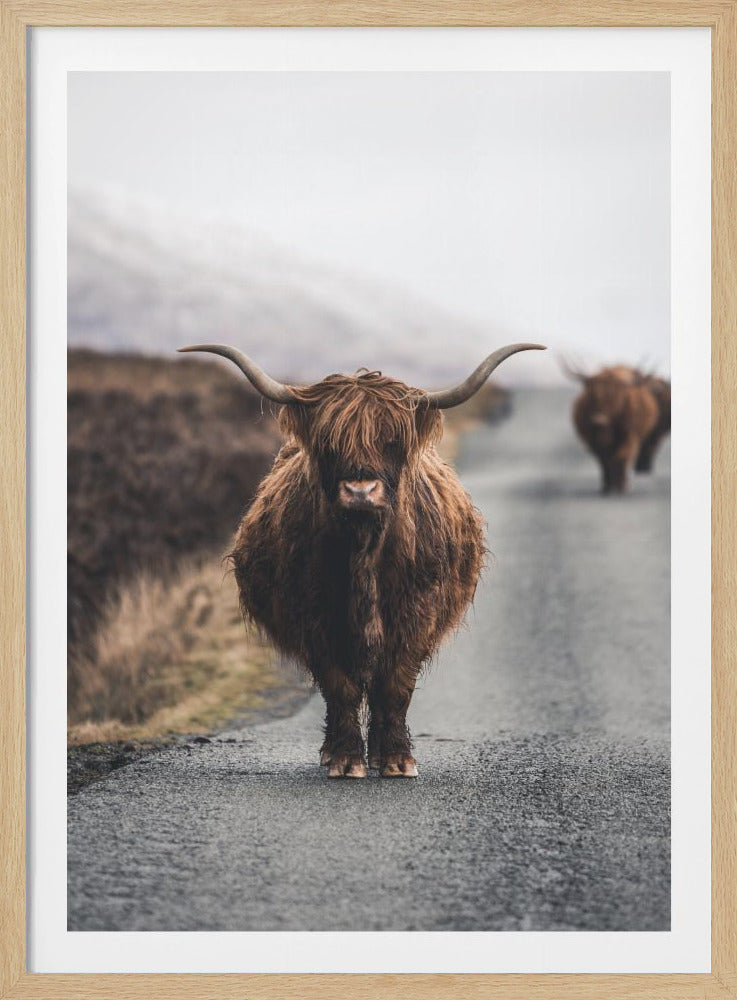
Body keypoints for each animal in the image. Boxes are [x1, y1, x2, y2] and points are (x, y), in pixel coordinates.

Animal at [178, 342, 544, 777]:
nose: (360, 491)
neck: (363, 549)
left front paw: (397, 759)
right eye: (330, 443)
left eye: (392, 441)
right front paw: (346, 758)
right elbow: (340, 686)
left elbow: (395, 686)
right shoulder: (314, 618)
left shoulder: (416, 614)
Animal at [567, 365, 659, 494]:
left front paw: (621, 486)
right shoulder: (594, 443)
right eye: (592, 396)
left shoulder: (629, 438)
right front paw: (607, 487)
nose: (599, 420)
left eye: (617, 399)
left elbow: (621, 458)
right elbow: (604, 461)